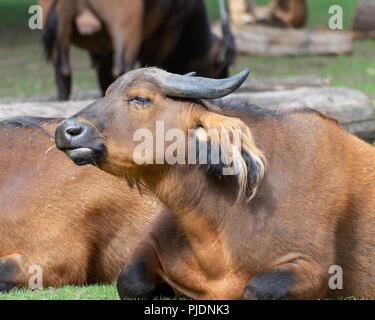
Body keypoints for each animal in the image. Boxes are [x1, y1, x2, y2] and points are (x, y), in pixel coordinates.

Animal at [40, 0, 235, 100]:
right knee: (122, 67)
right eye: (220, 66)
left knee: (63, 73)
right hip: (127, 25)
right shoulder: (169, 28)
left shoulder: (103, 48)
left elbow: (103, 77)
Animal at [55, 68, 375, 300]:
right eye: (108, 92)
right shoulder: (148, 244)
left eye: (141, 99)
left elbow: (256, 289)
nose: (66, 130)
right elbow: (129, 281)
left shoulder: (313, 268)